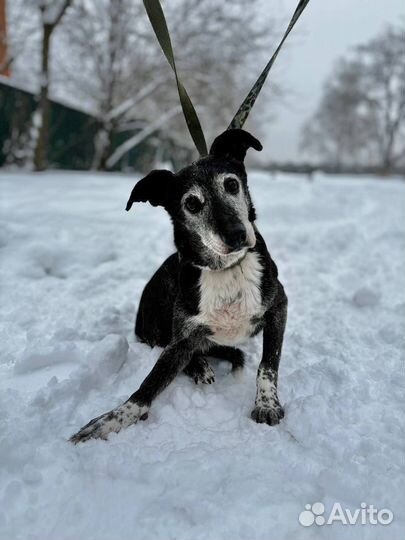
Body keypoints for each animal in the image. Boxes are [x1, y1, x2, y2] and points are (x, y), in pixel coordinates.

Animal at [72, 130, 288, 442]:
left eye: (231, 184)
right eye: (192, 204)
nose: (236, 234)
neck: (226, 269)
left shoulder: (278, 309)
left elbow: (268, 365)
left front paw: (267, 403)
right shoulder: (182, 336)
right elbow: (147, 386)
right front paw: (110, 421)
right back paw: (198, 366)